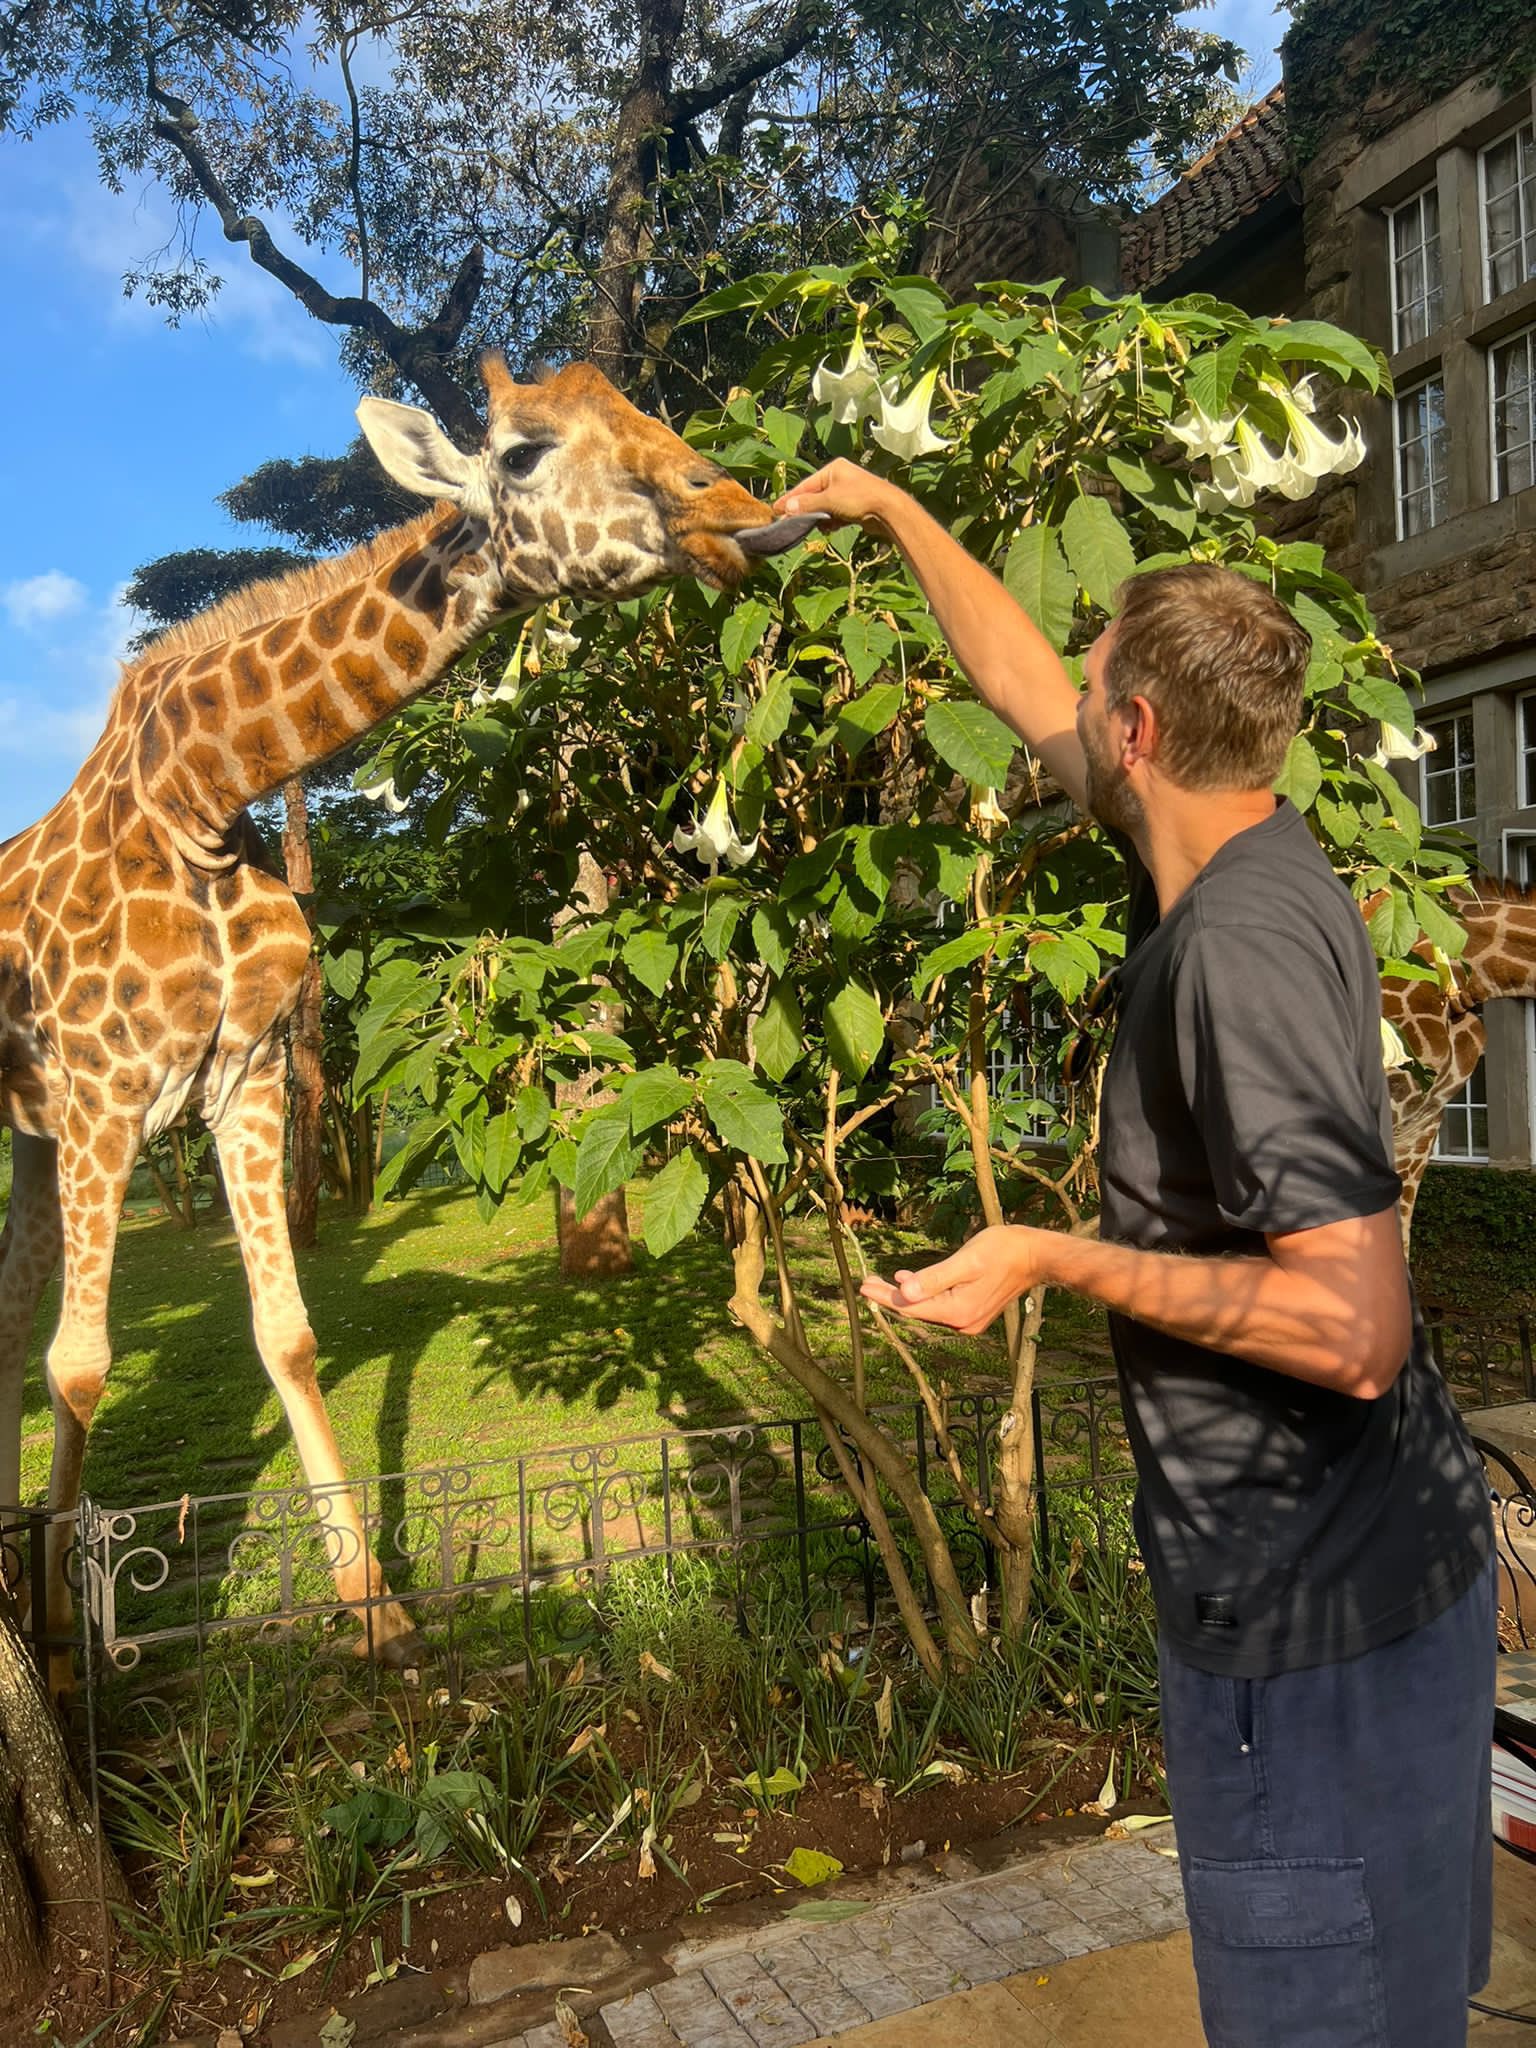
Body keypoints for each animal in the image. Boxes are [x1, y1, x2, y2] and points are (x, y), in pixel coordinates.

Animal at [0, 352, 819, 1679]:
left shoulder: (242, 1082)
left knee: (10, 1309)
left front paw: (373, 1602)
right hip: (51, 1118)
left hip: (31, 1127)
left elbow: (285, 1333)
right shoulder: (109, 1096)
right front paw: (65, 1642)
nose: (746, 508)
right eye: (524, 453)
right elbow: (83, 1366)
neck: (199, 796)